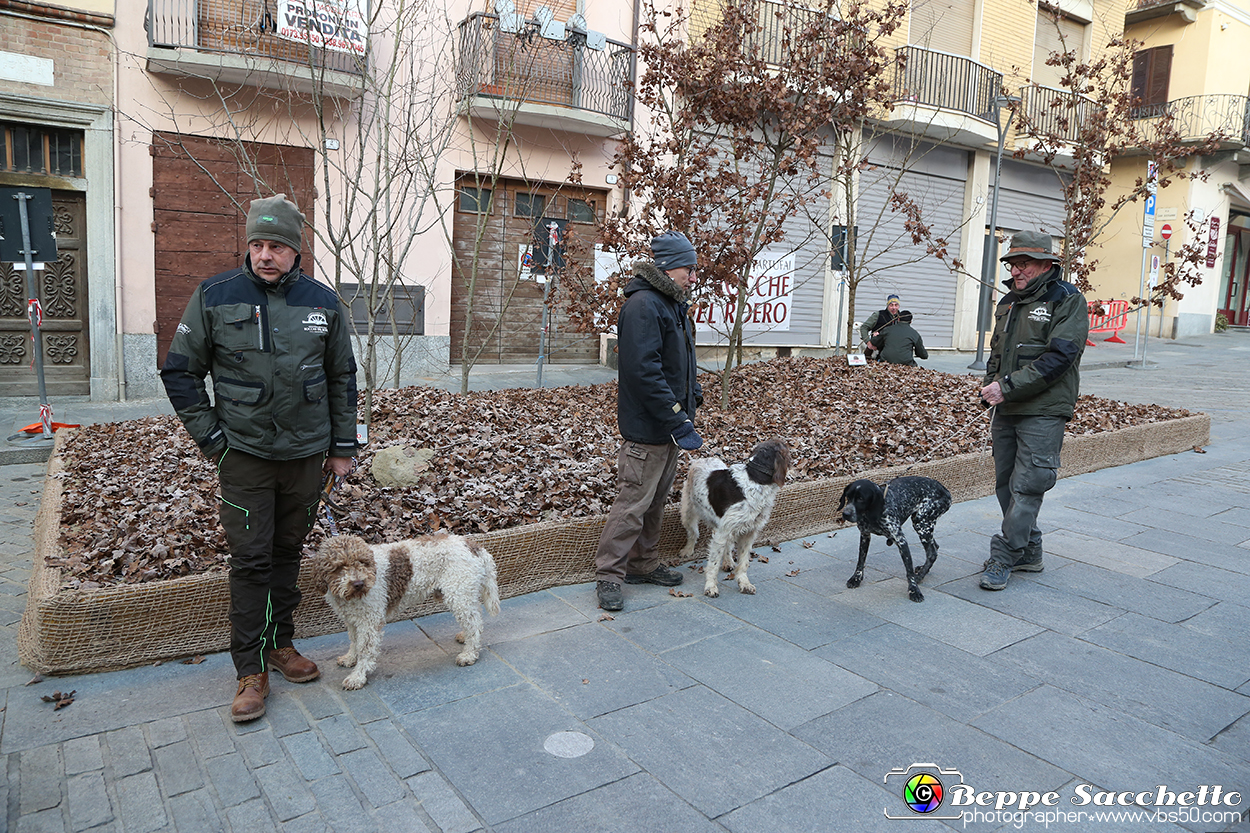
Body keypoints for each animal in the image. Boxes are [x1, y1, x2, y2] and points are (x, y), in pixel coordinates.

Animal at [310, 532, 500, 685]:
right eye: (338, 567)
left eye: (362, 562)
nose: (358, 584)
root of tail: (474, 546)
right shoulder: (353, 620)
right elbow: (354, 642)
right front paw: (350, 658)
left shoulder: (370, 621)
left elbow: (365, 649)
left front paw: (357, 677)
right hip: (464, 593)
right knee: (474, 616)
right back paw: (464, 637)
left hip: (459, 592)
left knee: (474, 624)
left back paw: (469, 654)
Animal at [680, 437, 795, 592]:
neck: (754, 479)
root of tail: (703, 459)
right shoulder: (723, 532)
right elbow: (713, 564)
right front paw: (710, 586)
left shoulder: (748, 532)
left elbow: (743, 562)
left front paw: (744, 582)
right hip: (688, 514)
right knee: (693, 533)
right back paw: (688, 550)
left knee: (728, 546)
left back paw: (728, 562)